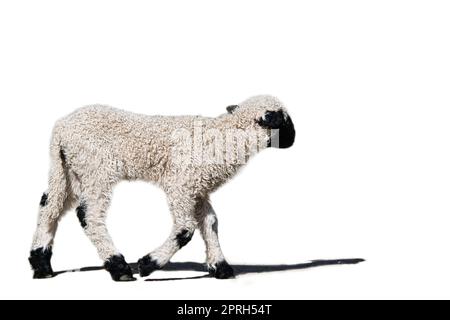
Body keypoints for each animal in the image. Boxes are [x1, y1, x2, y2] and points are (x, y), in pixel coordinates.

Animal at [28, 94, 296, 280]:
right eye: (283, 121)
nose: (294, 139)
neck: (223, 137)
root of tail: (60, 129)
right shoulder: (181, 184)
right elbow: (186, 229)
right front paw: (148, 264)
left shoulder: (198, 189)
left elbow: (210, 223)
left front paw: (220, 267)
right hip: (96, 168)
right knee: (88, 215)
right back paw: (119, 267)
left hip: (68, 171)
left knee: (49, 208)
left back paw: (41, 265)